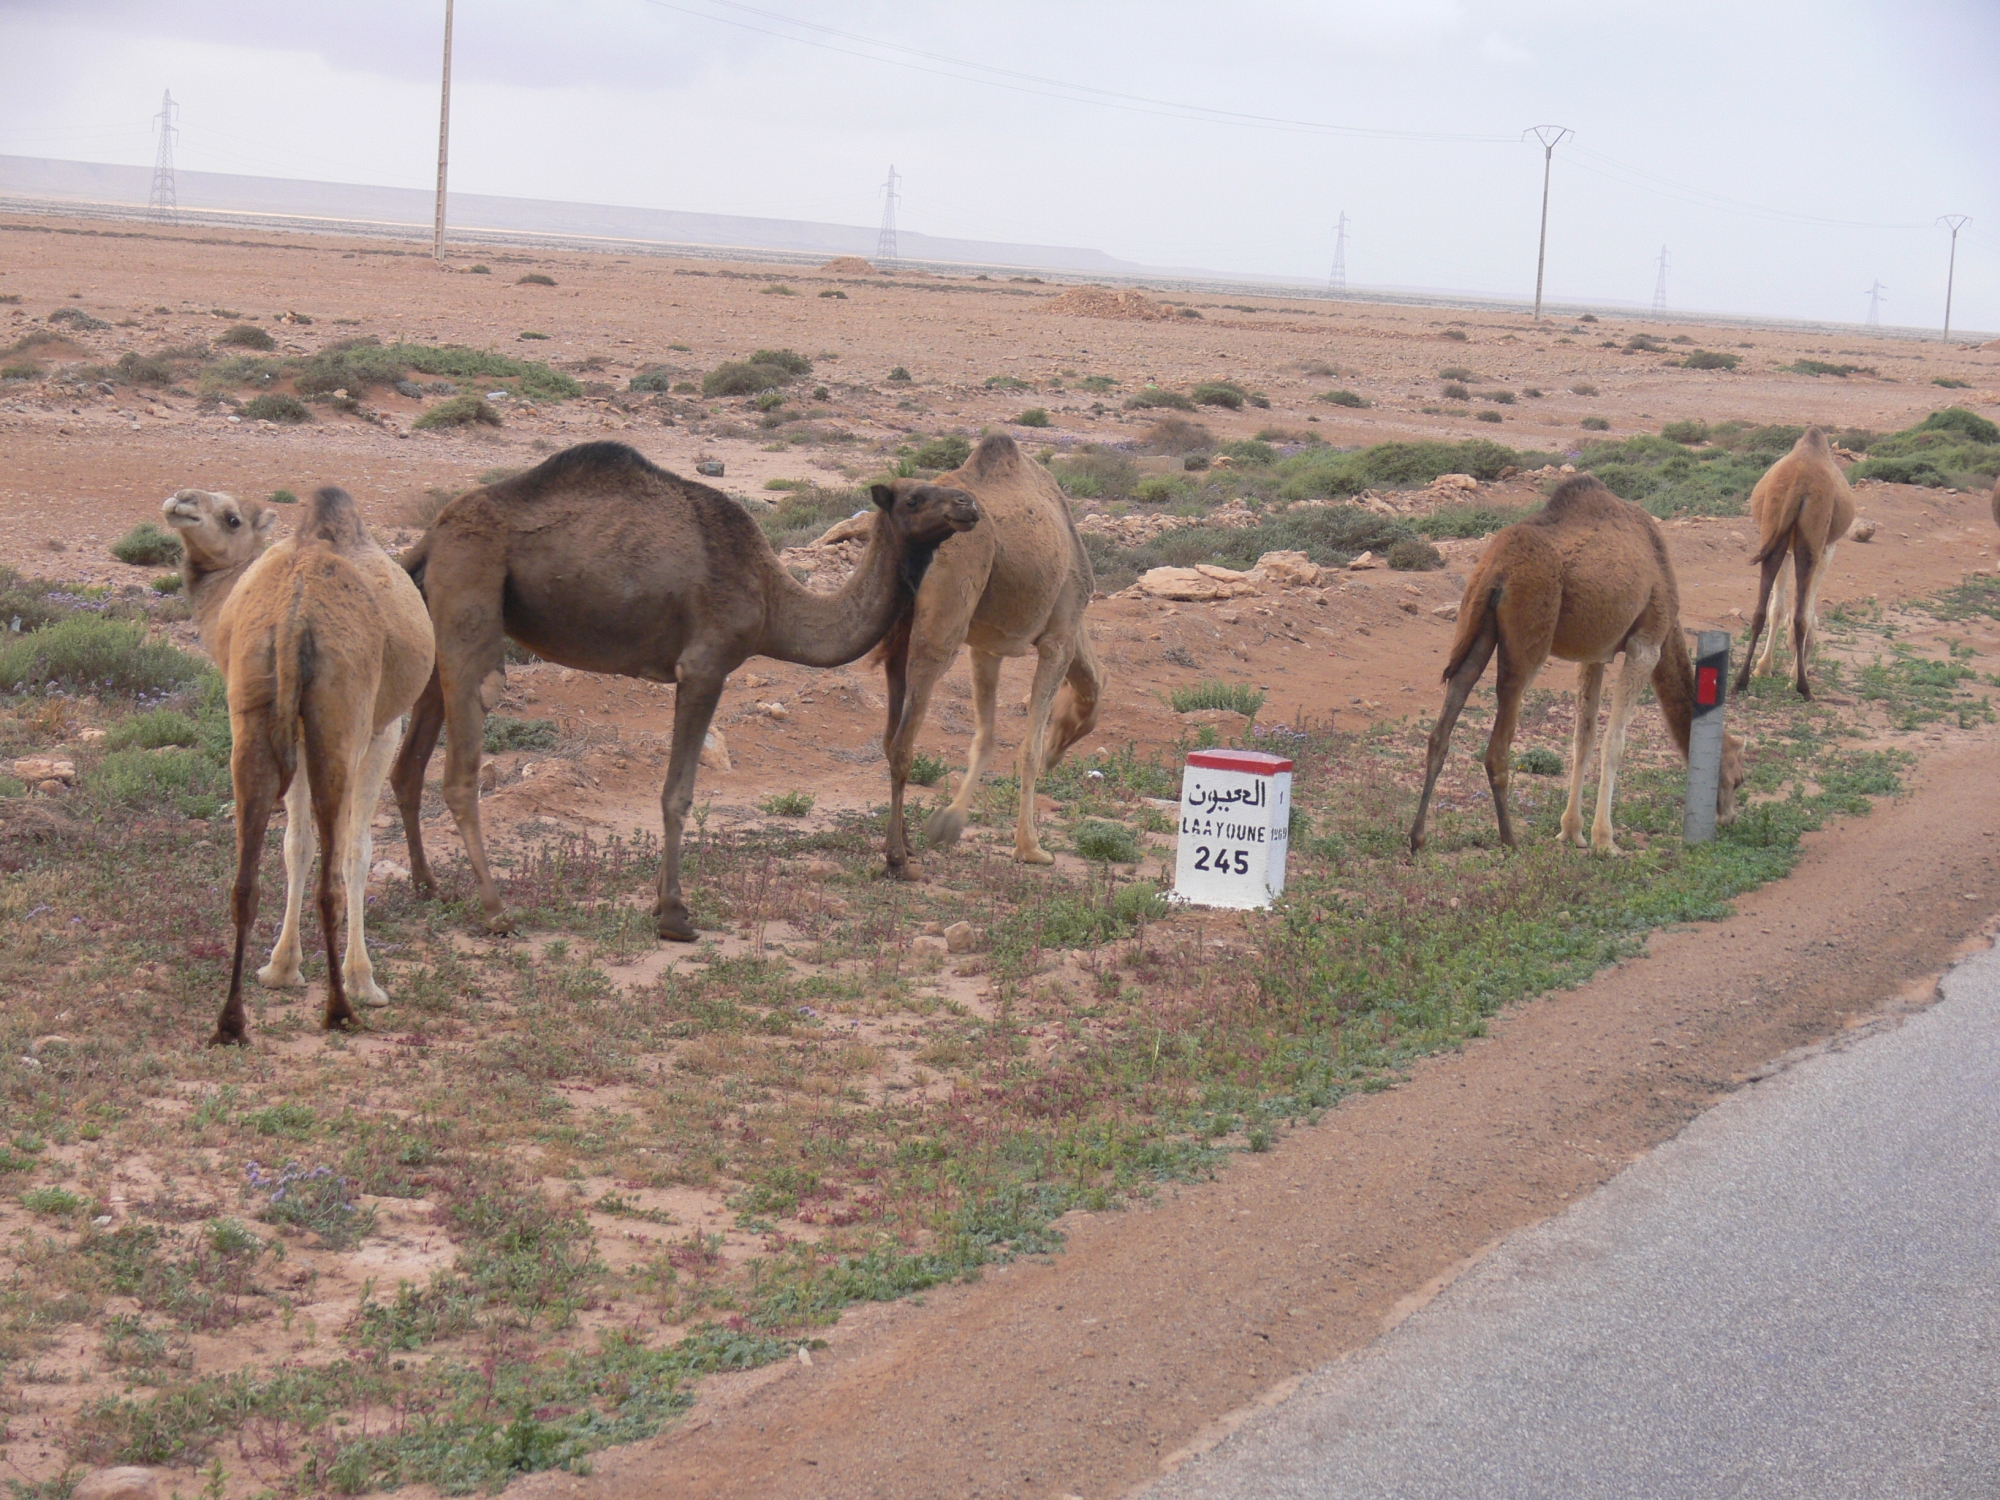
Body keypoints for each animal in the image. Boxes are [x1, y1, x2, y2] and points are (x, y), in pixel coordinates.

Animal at [166, 484, 436, 1048]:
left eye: (231, 517)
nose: (181, 501)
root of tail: (296, 614)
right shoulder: (381, 729)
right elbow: (357, 850)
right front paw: (364, 980)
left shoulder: (288, 730)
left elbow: (295, 845)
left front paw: (280, 968)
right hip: (338, 720)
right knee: (331, 878)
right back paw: (341, 1010)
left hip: (254, 715)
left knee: (244, 879)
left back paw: (230, 1022)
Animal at [386, 440, 980, 944]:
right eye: (915, 497)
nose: (969, 504)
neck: (772, 599)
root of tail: (431, 538)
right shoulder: (705, 666)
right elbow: (679, 793)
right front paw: (674, 915)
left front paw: (661, 903)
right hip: (470, 581)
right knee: (460, 768)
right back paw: (496, 912)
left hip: (440, 615)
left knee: (407, 767)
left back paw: (430, 888)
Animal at [872, 434, 1104, 876]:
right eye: (1070, 727)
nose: (1058, 755)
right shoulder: (1058, 639)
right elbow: (1028, 748)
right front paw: (1030, 847)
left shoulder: (985, 647)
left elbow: (985, 737)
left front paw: (948, 821)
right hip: (941, 630)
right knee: (903, 741)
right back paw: (897, 858)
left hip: (902, 635)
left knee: (890, 735)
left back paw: (904, 846)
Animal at [1408, 476, 1752, 864]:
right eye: (1738, 779)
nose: (1728, 818)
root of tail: (1496, 571)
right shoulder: (1646, 644)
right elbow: (1614, 742)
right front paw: (1606, 840)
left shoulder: (1595, 655)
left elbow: (1582, 737)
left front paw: (1572, 831)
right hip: (1528, 639)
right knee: (1498, 743)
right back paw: (1510, 840)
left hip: (1476, 626)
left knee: (1446, 718)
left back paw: (1418, 838)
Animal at [1752, 426, 1856, 704]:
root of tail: (1799, 484)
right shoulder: (1826, 550)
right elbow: (1807, 614)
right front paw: (1794, 670)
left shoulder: (1785, 550)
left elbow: (1778, 609)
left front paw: (1764, 667)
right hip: (1813, 546)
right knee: (1801, 613)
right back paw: (1797, 681)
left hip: (1772, 536)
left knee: (1769, 605)